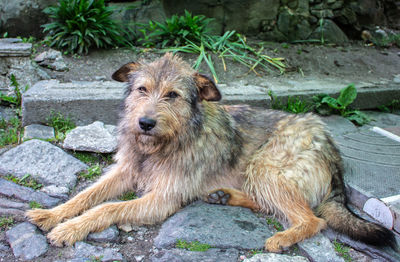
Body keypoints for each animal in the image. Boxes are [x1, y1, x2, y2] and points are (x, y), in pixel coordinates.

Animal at [25, 53, 396, 252]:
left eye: (173, 95)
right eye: (142, 89)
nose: (144, 122)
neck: (162, 144)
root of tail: (332, 147)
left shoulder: (162, 197)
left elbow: (108, 208)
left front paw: (70, 230)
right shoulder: (126, 170)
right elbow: (87, 195)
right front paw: (53, 214)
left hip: (266, 165)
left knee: (313, 219)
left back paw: (282, 238)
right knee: (270, 203)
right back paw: (225, 196)